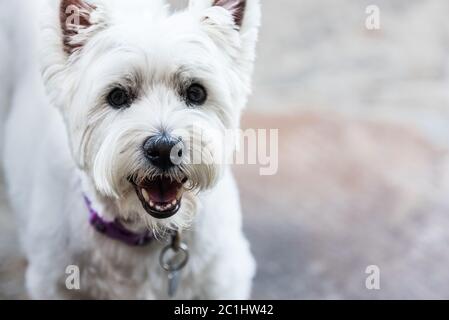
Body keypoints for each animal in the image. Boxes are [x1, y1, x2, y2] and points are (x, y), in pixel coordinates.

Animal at [0, 0, 260, 300]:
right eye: (117, 96)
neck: (141, 232)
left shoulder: (222, 279)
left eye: (196, 92)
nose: (164, 149)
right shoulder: (54, 284)